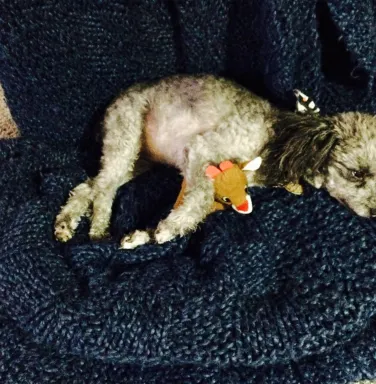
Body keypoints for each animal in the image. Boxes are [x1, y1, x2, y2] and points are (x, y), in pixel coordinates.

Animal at [53, 74, 376, 249]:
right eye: (356, 173)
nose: (374, 214)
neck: (283, 137)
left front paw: (145, 235)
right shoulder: (202, 149)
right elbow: (201, 197)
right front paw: (170, 227)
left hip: (136, 160)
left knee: (88, 185)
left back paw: (66, 223)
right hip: (126, 137)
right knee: (103, 189)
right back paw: (97, 229)